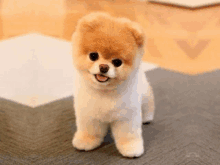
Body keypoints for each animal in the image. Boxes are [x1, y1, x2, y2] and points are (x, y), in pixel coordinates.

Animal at [71, 12, 154, 158]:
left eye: (117, 62)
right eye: (93, 56)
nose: (104, 67)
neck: (105, 92)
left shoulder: (126, 116)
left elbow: (128, 135)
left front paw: (131, 148)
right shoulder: (89, 114)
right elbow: (90, 130)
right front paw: (86, 141)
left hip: (145, 95)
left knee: (148, 105)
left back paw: (147, 117)